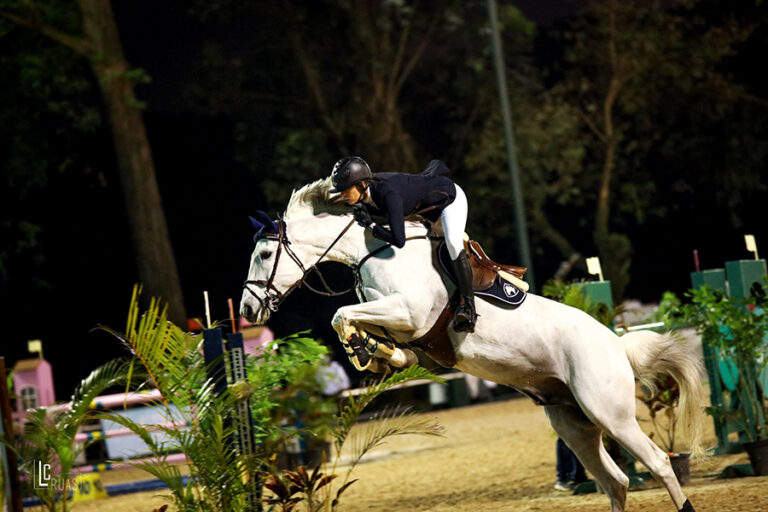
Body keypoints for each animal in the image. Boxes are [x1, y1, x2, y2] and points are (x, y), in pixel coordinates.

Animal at [240, 177, 704, 512]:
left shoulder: (409, 312)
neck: (373, 252)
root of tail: (616, 344)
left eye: (263, 255)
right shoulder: (398, 321)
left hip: (610, 413)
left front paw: (365, 350)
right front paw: (374, 353)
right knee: (615, 481)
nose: (246, 309)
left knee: (659, 463)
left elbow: (340, 315)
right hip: (574, 423)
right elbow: (356, 325)